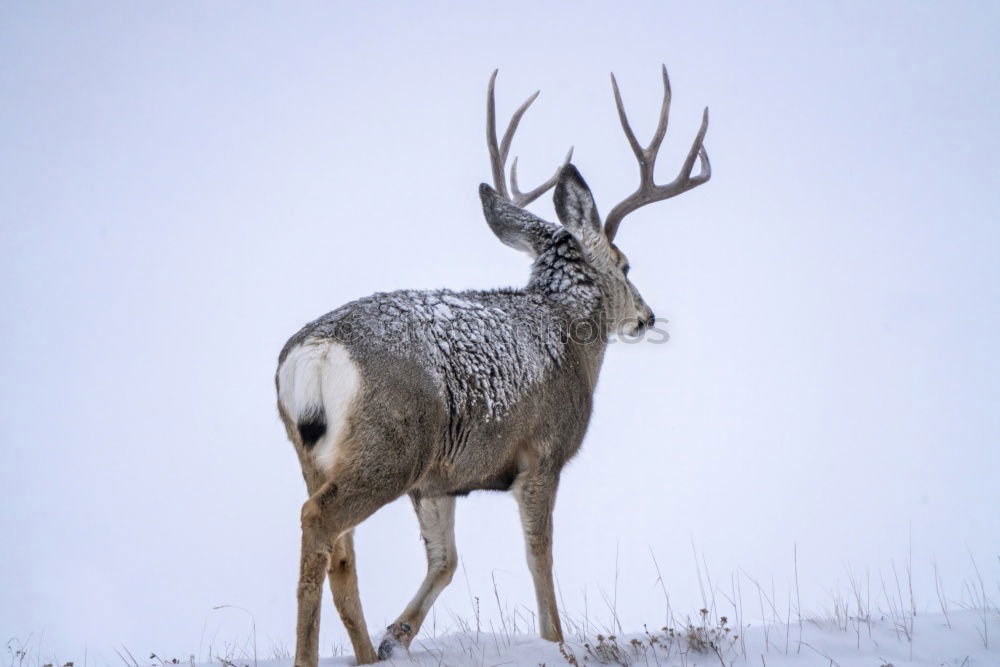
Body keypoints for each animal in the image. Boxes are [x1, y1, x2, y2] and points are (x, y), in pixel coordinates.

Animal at [276, 64, 712, 667]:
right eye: (626, 264)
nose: (646, 317)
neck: (566, 328)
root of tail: (315, 352)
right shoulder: (542, 453)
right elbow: (539, 555)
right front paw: (555, 641)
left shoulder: (440, 480)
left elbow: (445, 560)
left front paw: (396, 637)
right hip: (390, 449)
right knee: (317, 521)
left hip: (318, 454)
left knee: (341, 553)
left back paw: (366, 652)